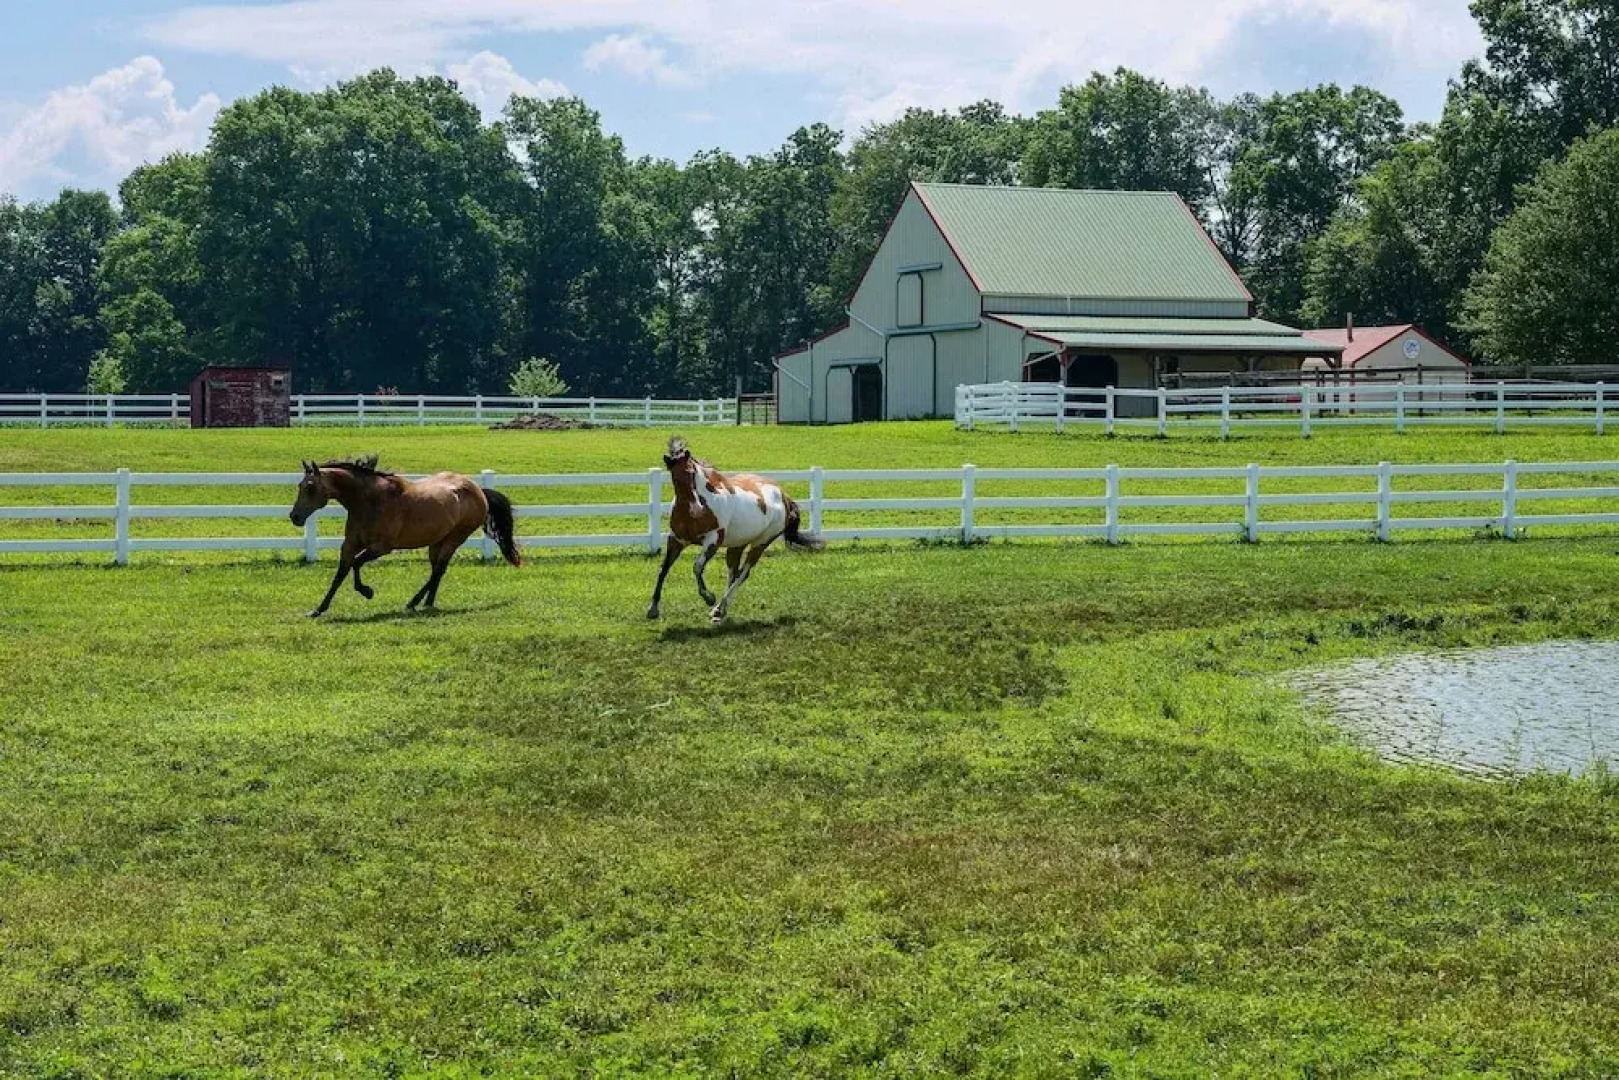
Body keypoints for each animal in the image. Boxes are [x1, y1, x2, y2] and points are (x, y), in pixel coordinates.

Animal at [288, 456, 521, 617]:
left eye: (310, 487)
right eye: (300, 485)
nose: (295, 517)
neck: (369, 501)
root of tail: (479, 490)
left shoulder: (381, 547)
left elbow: (356, 564)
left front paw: (367, 591)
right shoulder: (350, 544)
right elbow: (340, 574)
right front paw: (318, 609)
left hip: (455, 538)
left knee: (439, 569)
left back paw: (416, 603)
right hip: (437, 542)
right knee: (437, 570)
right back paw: (422, 602)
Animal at [647, 437, 821, 625]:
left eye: (692, 473)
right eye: (675, 477)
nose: (696, 509)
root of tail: (784, 496)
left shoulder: (713, 541)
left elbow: (697, 567)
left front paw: (708, 597)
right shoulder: (676, 540)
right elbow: (663, 569)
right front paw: (653, 609)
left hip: (761, 543)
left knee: (742, 574)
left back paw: (718, 608)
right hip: (737, 544)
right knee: (733, 573)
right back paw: (720, 610)